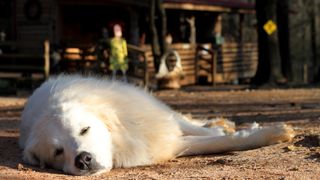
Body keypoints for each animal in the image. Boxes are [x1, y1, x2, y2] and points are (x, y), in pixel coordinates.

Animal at [18, 75, 296, 175]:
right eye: (57, 152)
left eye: (84, 130)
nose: (83, 160)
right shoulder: (166, 146)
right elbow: (216, 143)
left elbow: (217, 137)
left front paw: (274, 132)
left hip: (157, 109)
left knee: (188, 122)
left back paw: (218, 124)